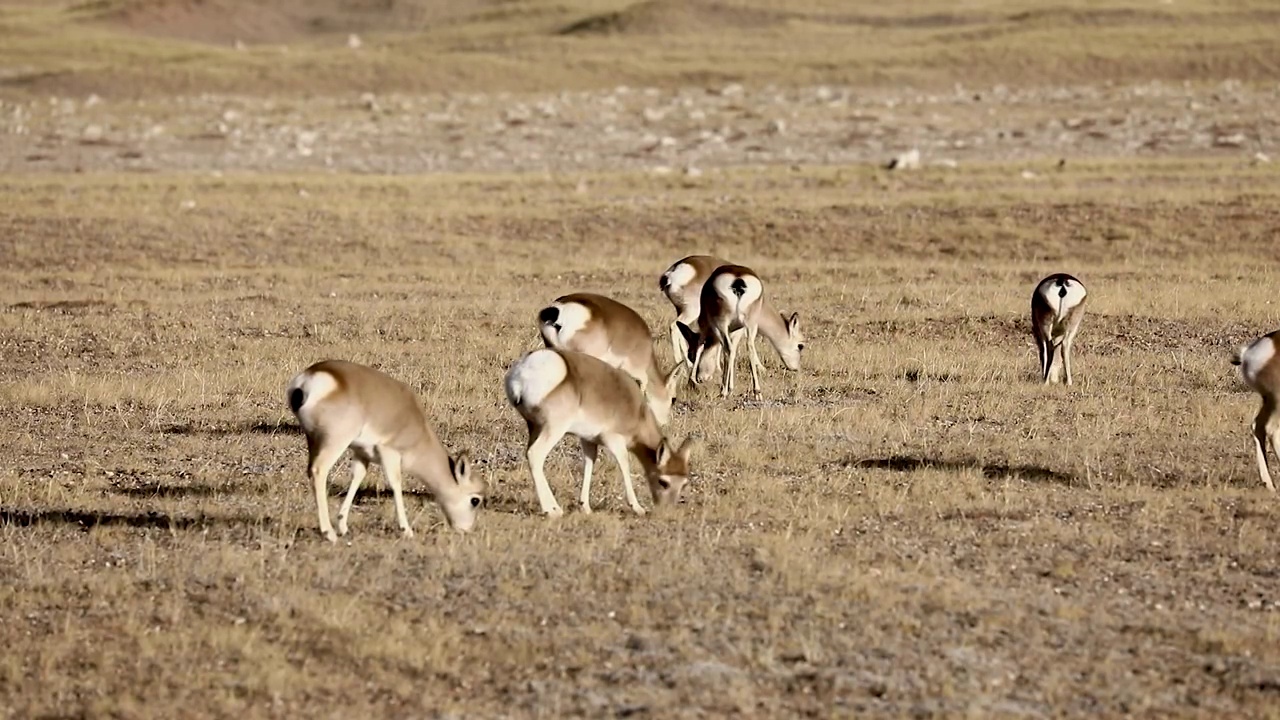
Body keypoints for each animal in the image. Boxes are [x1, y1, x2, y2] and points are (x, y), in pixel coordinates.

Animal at [288, 358, 486, 538]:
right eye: (475, 500)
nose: (466, 530)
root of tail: (312, 376)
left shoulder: (361, 454)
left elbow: (357, 478)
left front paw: (343, 526)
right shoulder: (390, 453)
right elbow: (395, 484)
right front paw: (406, 530)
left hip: (314, 441)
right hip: (334, 443)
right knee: (318, 471)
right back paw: (328, 532)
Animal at [501, 345, 701, 512]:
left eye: (684, 483)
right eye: (663, 482)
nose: (667, 510)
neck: (636, 410)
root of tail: (526, 369)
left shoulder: (588, 441)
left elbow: (589, 464)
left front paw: (585, 506)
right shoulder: (614, 441)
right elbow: (624, 464)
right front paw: (637, 507)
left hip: (534, 427)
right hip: (553, 429)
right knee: (535, 455)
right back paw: (553, 510)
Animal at [675, 262, 803, 397]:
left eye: (690, 354)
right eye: (800, 346)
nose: (699, 378)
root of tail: (738, 280)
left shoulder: (709, 326)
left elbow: (704, 347)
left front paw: (692, 382)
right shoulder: (737, 330)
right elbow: (732, 351)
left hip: (722, 324)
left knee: (728, 348)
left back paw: (724, 392)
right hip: (750, 324)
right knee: (749, 347)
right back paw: (756, 392)